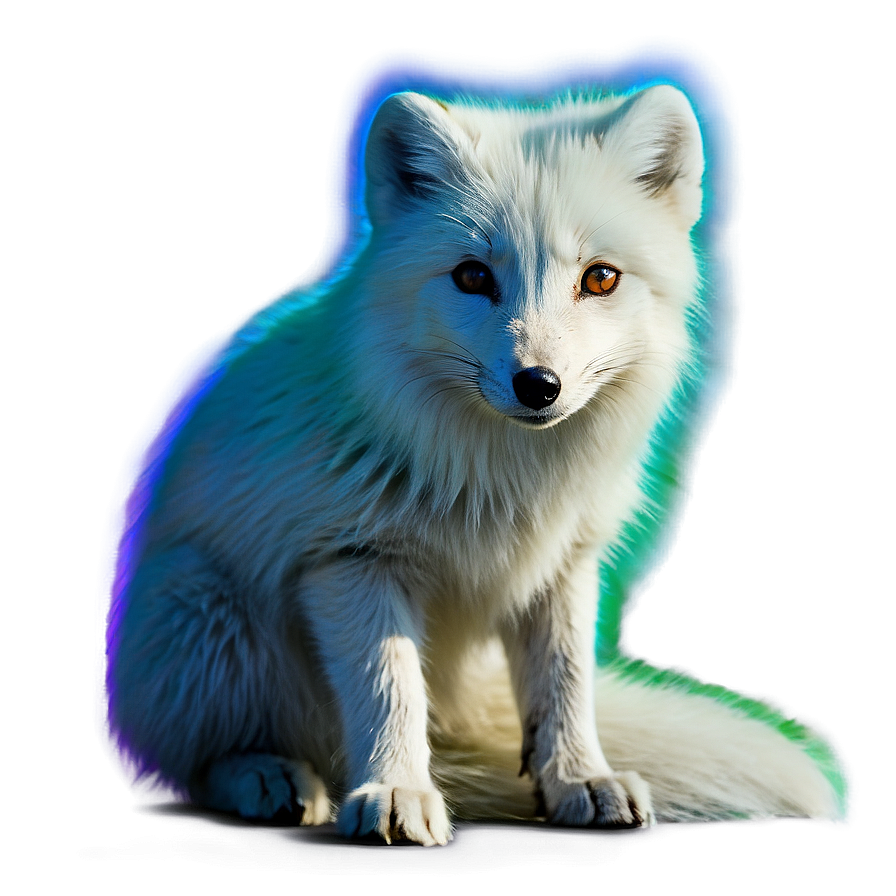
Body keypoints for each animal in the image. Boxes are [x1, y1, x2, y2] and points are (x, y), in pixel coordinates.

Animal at [103, 83, 844, 846]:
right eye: (471, 275)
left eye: (600, 278)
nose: (538, 384)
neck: (504, 480)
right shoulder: (350, 559)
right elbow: (390, 688)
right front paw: (397, 792)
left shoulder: (564, 565)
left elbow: (565, 687)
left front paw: (579, 780)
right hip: (202, 613)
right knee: (201, 761)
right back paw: (269, 776)